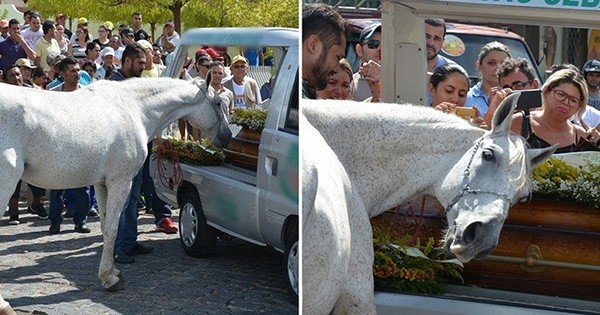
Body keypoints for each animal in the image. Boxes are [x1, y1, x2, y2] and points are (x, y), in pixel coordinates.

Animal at [0, 77, 231, 315]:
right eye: (218, 103)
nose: (227, 137)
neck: (133, 108)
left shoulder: (101, 184)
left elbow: (104, 226)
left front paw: (112, 271)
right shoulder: (120, 182)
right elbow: (113, 228)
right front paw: (110, 279)